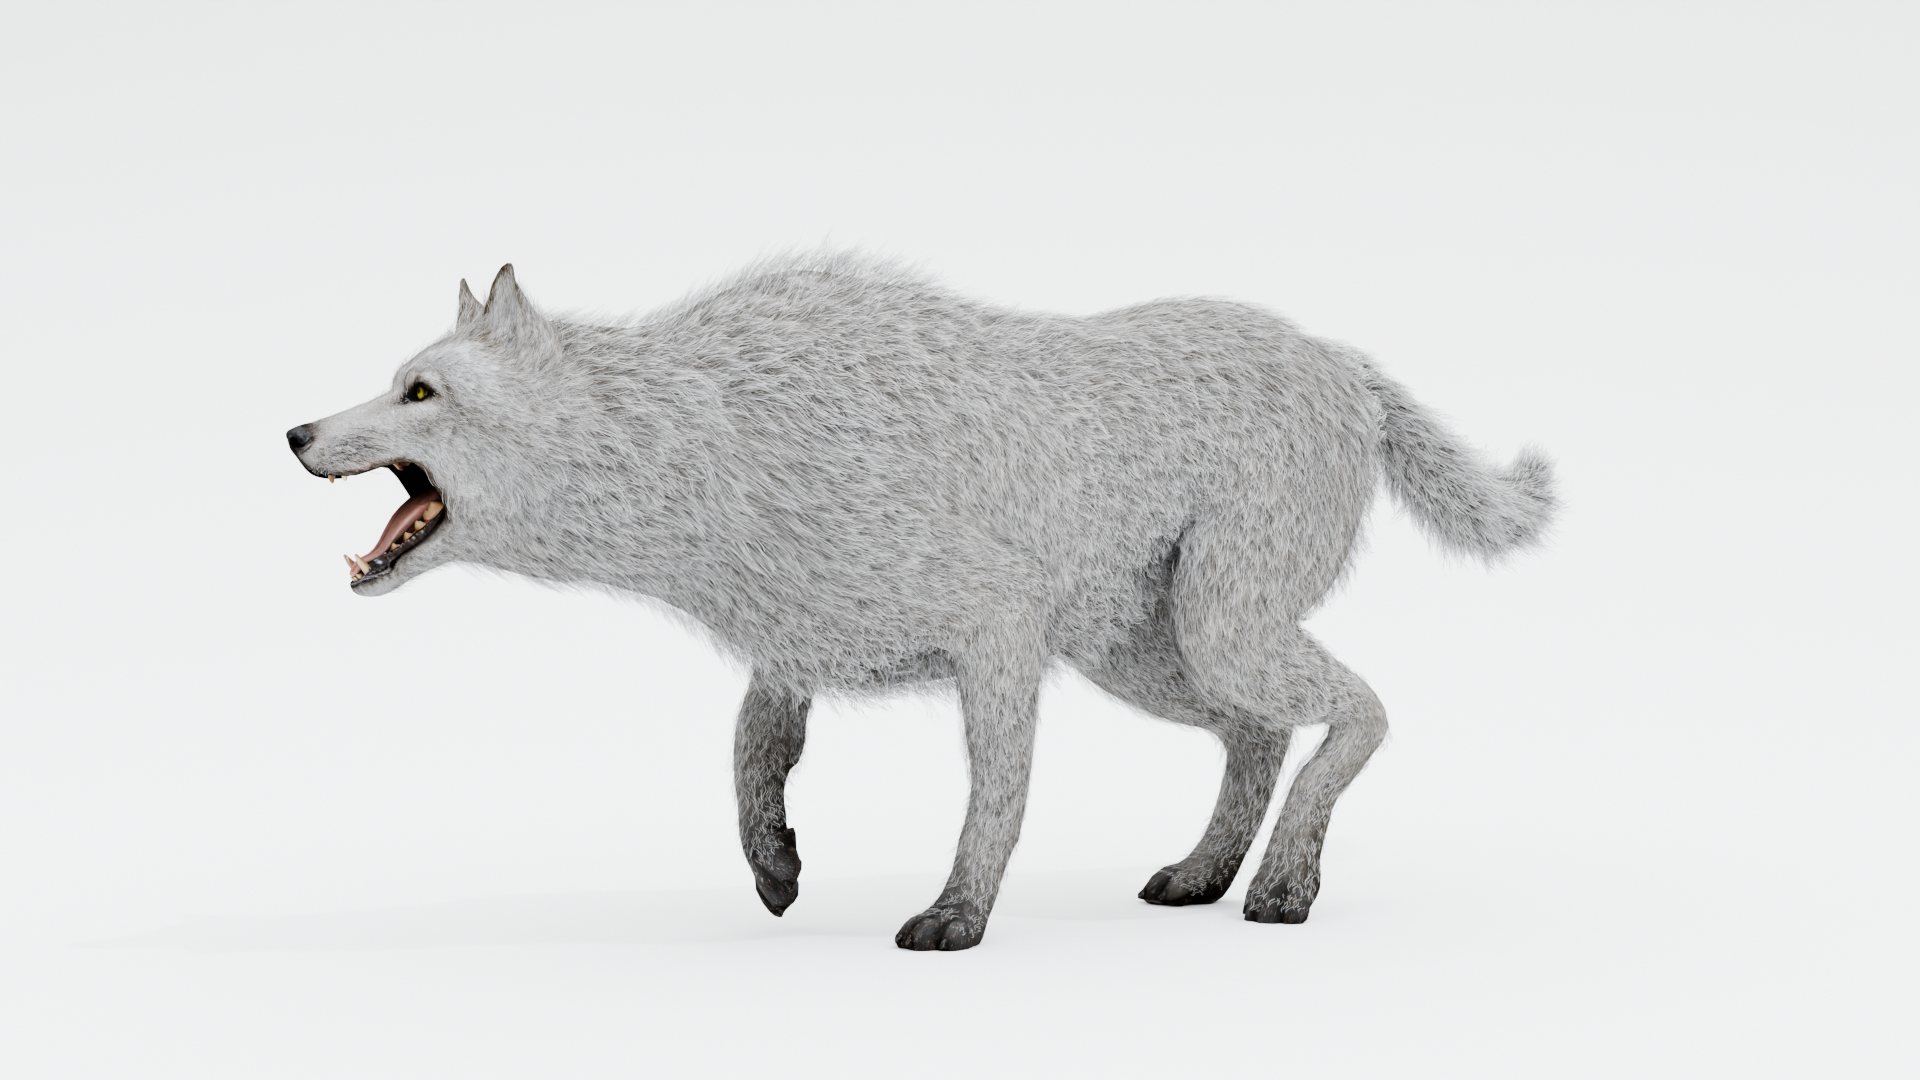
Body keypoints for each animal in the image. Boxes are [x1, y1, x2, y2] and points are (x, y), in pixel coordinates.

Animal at [287, 252, 1556, 950]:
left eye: (420, 391)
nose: (293, 431)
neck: (720, 438)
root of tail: (1349, 363)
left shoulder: (997, 637)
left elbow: (995, 800)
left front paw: (959, 918)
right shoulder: (796, 642)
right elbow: (748, 754)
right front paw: (776, 866)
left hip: (1214, 630)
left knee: (1363, 711)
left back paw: (1286, 881)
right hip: (1146, 655)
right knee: (1261, 734)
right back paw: (1206, 874)